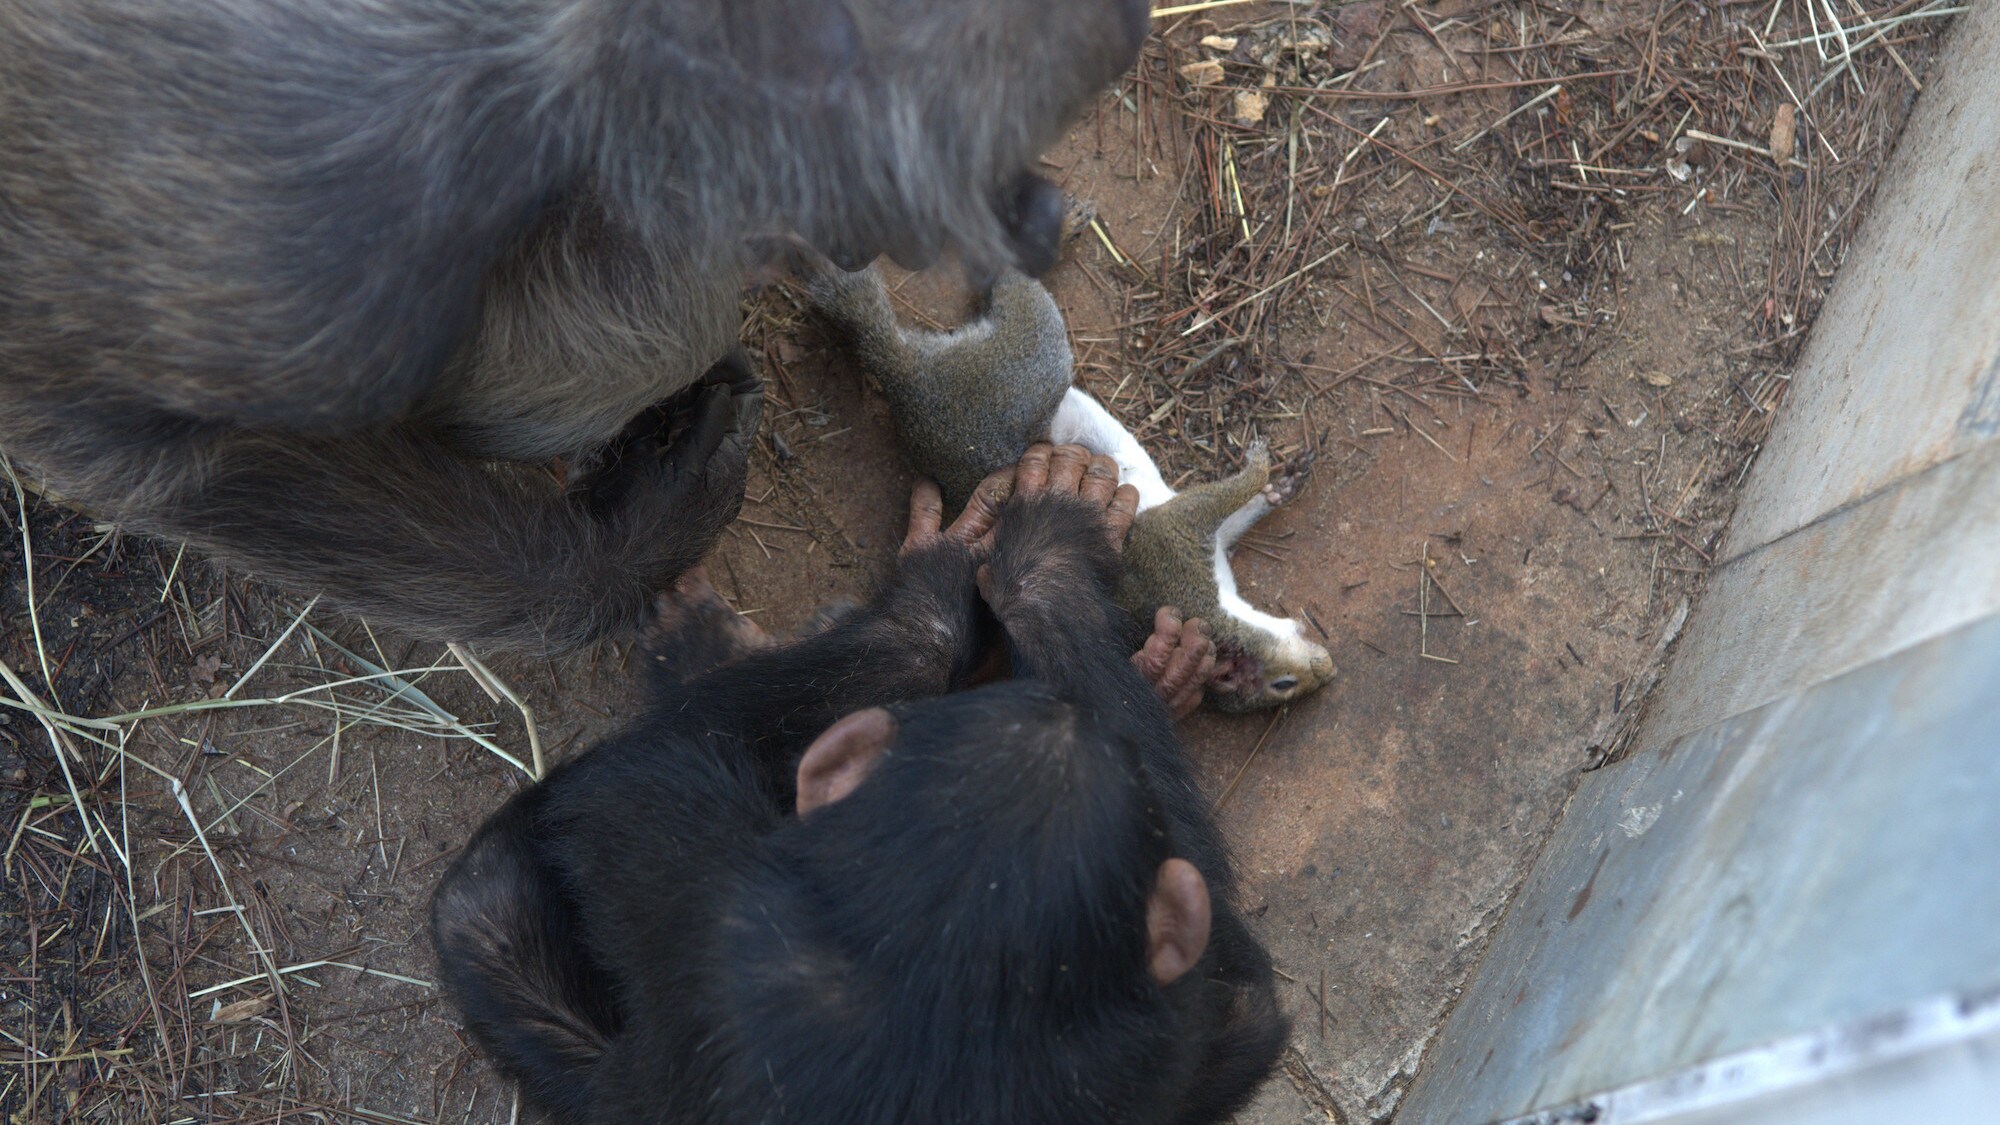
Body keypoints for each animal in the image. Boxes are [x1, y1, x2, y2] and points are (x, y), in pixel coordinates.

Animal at [430, 444, 1288, 1120]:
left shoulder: (674, 849)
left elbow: (600, 793)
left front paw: (1043, 546)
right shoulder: (1147, 1042)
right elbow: (1240, 1012)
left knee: (487, 909)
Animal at [804, 262, 1336, 708]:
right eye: (1283, 684)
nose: (1328, 671)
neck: (1219, 610)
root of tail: (902, 382)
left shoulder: (1207, 542)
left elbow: (1236, 516)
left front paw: (1279, 488)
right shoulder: (1174, 543)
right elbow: (1212, 500)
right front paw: (1261, 465)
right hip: (1025, 364)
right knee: (1017, 296)